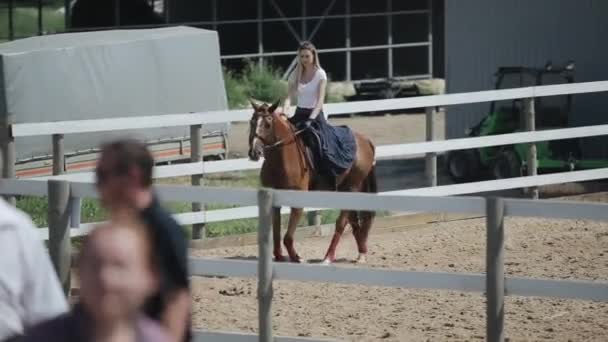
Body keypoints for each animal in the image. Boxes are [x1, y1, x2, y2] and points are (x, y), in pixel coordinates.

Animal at [247, 99, 376, 264]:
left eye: (268, 124)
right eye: (252, 122)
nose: (254, 152)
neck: (282, 158)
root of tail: (365, 140)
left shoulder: (297, 200)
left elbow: (287, 236)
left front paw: (296, 257)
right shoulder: (274, 199)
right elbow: (276, 231)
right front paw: (279, 256)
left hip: (352, 188)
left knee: (341, 223)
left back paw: (328, 257)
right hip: (345, 189)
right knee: (353, 221)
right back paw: (361, 254)